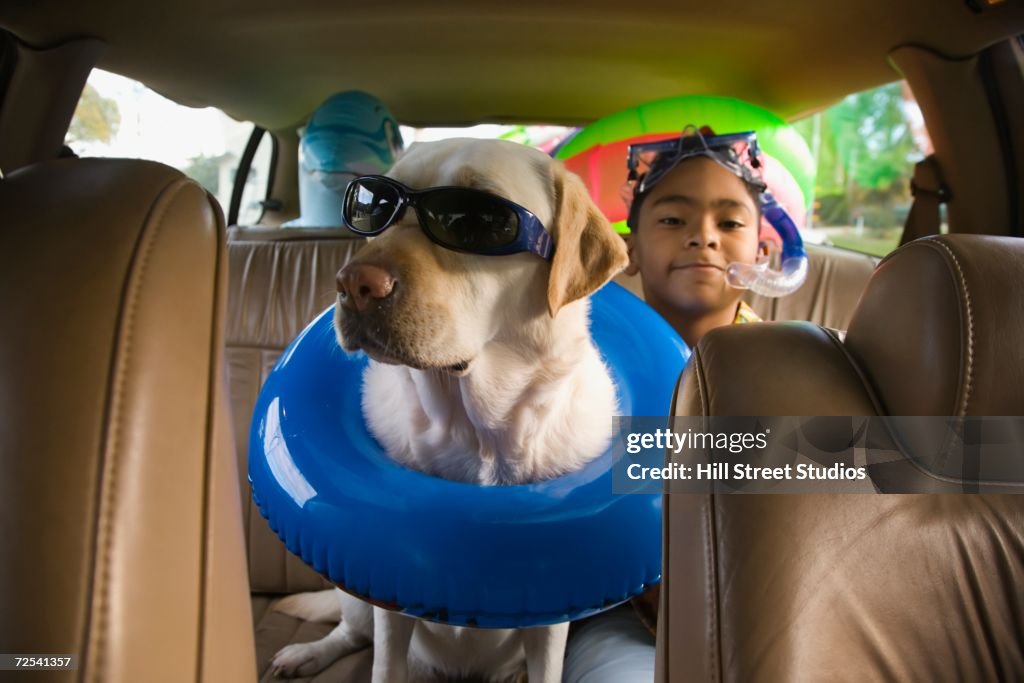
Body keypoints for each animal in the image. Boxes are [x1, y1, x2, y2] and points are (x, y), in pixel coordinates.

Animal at [268, 139, 626, 683]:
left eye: (476, 220)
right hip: (355, 597)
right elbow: (383, 664)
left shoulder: (552, 617)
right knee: (348, 631)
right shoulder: (388, 599)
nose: (353, 284)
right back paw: (306, 654)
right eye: (372, 206)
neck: (478, 428)